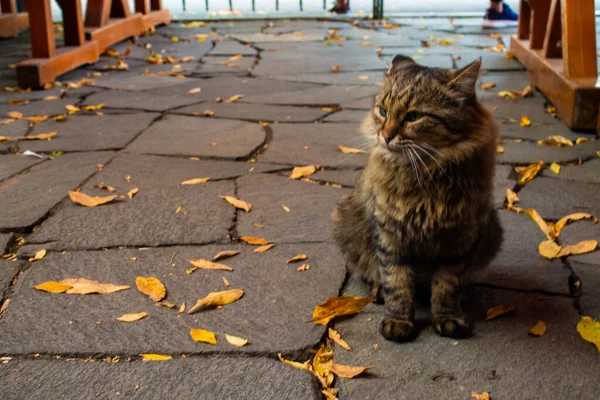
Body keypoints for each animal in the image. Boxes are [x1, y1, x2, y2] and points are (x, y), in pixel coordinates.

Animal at [330, 54, 504, 342]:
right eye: (383, 112)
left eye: (414, 116)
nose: (385, 136)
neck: (425, 172)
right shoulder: (389, 233)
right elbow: (396, 281)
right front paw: (397, 321)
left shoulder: (461, 238)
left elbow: (447, 285)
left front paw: (447, 317)